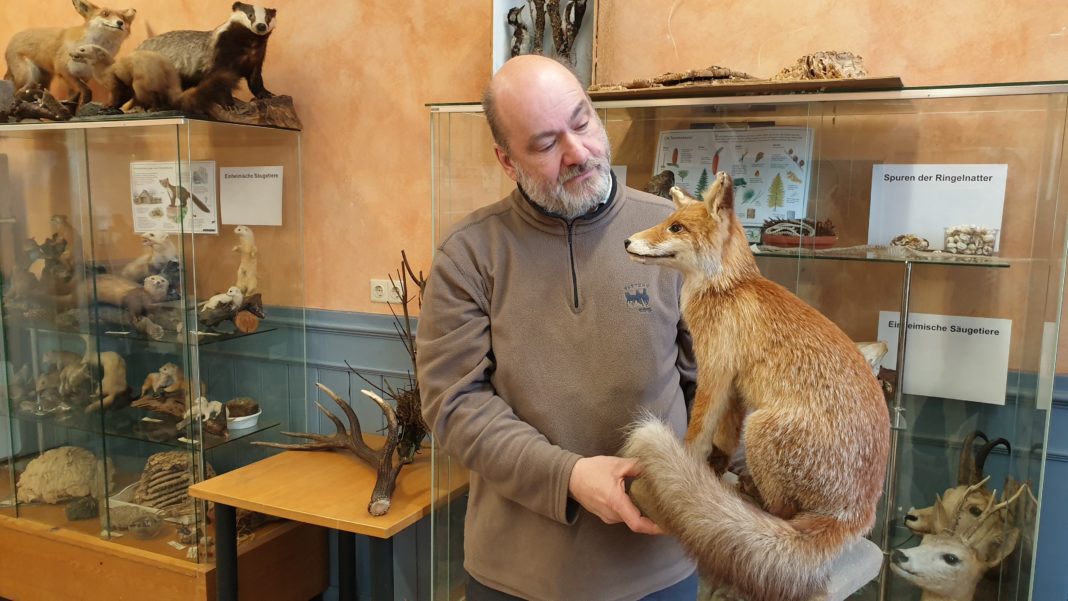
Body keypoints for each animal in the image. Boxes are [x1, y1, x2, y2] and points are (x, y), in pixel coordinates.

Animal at [2, 0, 135, 104]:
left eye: (123, 18)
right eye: (105, 14)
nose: (120, 23)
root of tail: (9, 43)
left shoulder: (84, 76)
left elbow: (75, 97)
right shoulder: (64, 71)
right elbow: (86, 91)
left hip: (44, 80)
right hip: (29, 76)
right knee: (17, 93)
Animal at [137, 2, 277, 108]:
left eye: (268, 18)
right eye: (250, 15)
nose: (261, 26)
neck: (250, 43)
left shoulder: (256, 56)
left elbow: (255, 77)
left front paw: (267, 94)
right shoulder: (221, 53)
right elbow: (219, 79)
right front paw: (229, 104)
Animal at [623, 172, 888, 601]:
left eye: (675, 228)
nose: (627, 241)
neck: (727, 289)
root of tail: (855, 515)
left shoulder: (715, 369)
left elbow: (698, 432)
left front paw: (684, 469)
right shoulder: (735, 386)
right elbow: (724, 437)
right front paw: (713, 468)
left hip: (762, 429)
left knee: (782, 514)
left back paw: (751, 498)